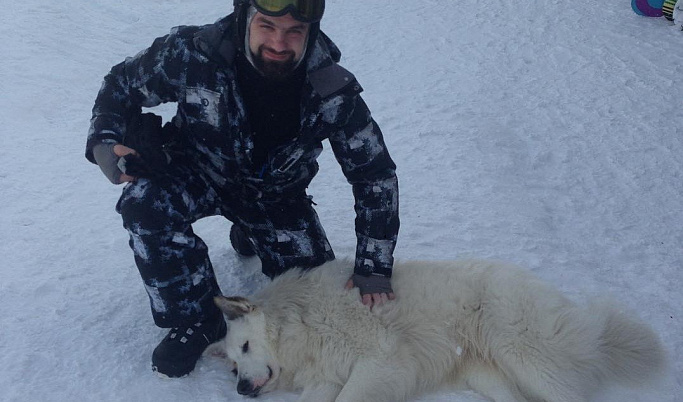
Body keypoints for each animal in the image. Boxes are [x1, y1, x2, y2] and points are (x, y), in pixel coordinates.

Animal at [210, 260, 668, 400]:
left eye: (246, 347)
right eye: (231, 368)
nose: (241, 390)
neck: (304, 321)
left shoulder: (382, 361)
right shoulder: (325, 380)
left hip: (525, 355)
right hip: (487, 375)